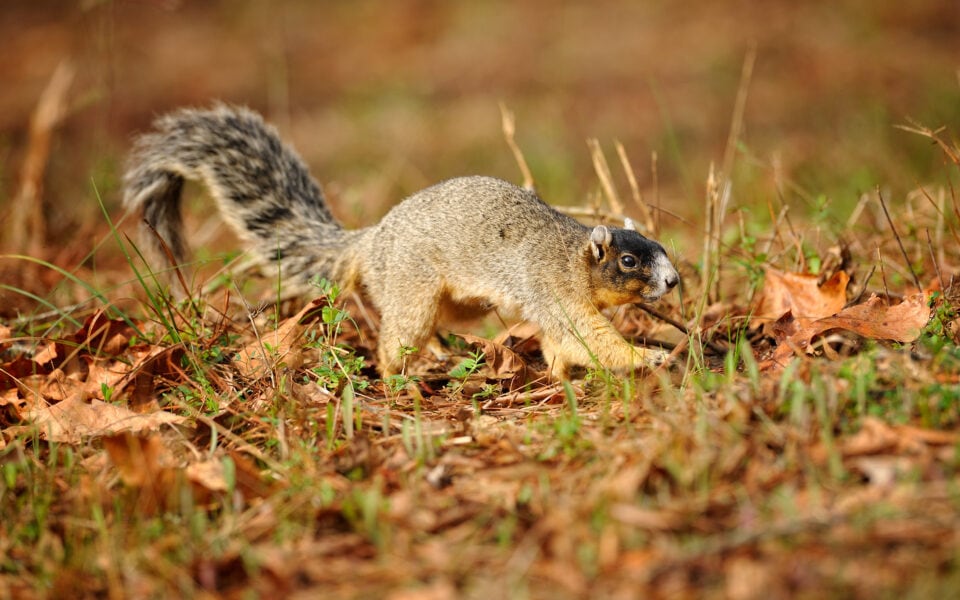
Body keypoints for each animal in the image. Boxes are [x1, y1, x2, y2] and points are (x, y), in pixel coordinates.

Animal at [124, 105, 680, 378]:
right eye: (629, 261)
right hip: (412, 284)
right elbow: (586, 338)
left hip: (457, 300)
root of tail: (370, 241)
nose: (674, 280)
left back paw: (440, 353)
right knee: (398, 334)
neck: (572, 257)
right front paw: (648, 359)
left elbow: (560, 346)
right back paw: (397, 374)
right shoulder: (556, 293)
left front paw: (561, 376)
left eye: (660, 249)